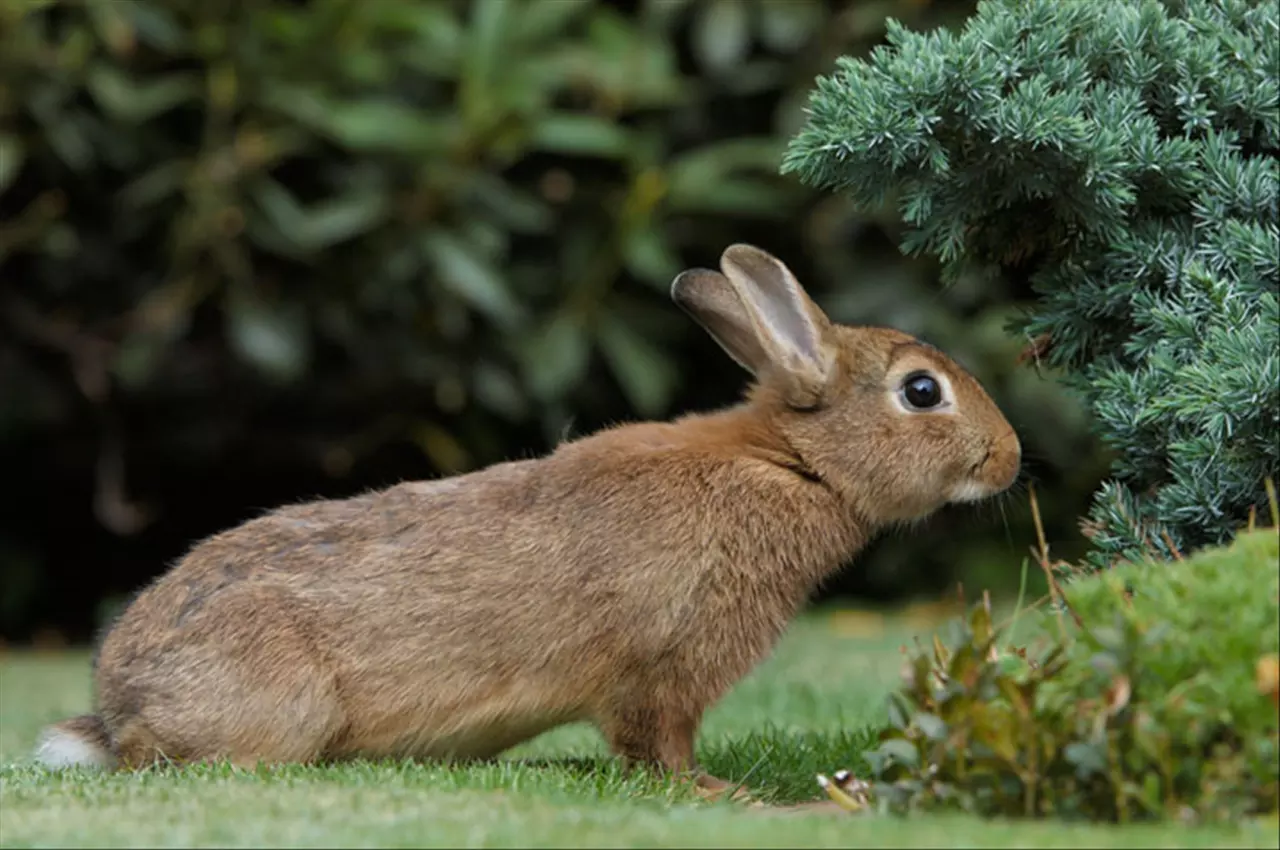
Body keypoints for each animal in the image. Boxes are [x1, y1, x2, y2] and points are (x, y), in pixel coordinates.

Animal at [32, 245, 1018, 798]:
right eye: (921, 392)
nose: (1008, 459)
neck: (791, 463)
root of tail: (118, 703)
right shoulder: (664, 665)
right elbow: (657, 746)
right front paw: (720, 794)